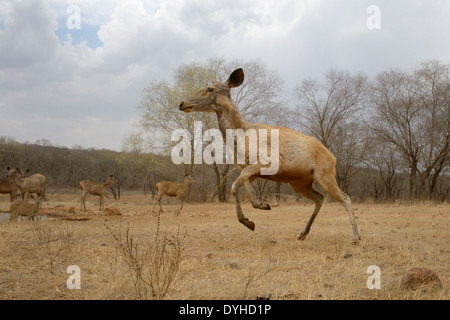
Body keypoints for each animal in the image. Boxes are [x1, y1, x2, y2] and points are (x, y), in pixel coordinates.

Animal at [178, 68, 360, 242]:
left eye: (210, 89)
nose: (182, 103)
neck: (240, 136)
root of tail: (333, 157)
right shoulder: (251, 171)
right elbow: (234, 186)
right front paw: (248, 222)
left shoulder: (270, 161)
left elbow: (242, 179)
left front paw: (263, 205)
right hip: (300, 183)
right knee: (320, 198)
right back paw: (303, 233)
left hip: (324, 174)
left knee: (346, 198)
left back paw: (356, 237)